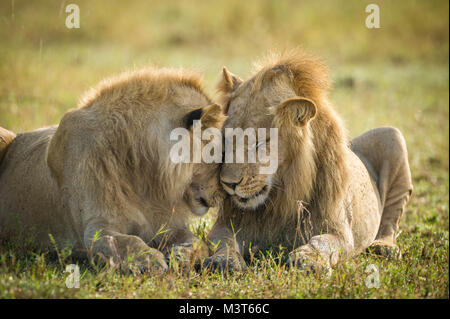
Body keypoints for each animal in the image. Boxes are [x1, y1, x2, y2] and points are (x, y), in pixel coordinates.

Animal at [0, 67, 225, 272]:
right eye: (220, 155)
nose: (224, 193)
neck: (146, 177)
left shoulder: (169, 225)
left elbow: (198, 243)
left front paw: (182, 255)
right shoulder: (96, 227)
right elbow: (128, 241)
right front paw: (149, 261)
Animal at [206, 49, 414, 272]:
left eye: (260, 142)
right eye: (225, 139)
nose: (228, 184)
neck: (283, 191)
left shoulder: (340, 231)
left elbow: (322, 242)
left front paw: (306, 259)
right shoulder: (228, 223)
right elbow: (224, 240)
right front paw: (223, 260)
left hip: (392, 135)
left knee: (391, 219)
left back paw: (383, 247)